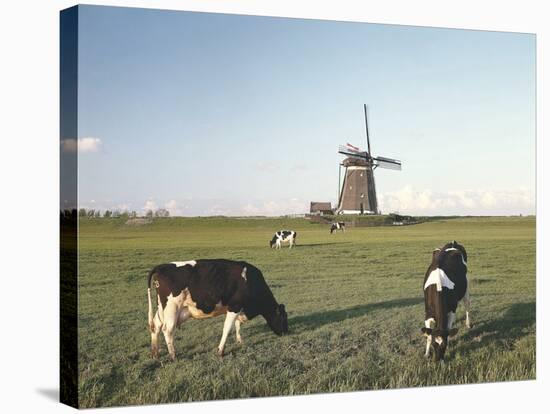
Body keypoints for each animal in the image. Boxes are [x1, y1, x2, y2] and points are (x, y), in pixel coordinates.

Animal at [149, 258, 292, 360]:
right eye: (283, 318)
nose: (287, 333)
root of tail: (160, 267)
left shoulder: (238, 308)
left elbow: (237, 324)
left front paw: (239, 340)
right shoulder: (234, 306)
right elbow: (227, 328)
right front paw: (220, 351)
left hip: (161, 309)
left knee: (155, 326)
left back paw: (155, 353)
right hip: (171, 308)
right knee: (167, 330)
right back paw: (173, 355)